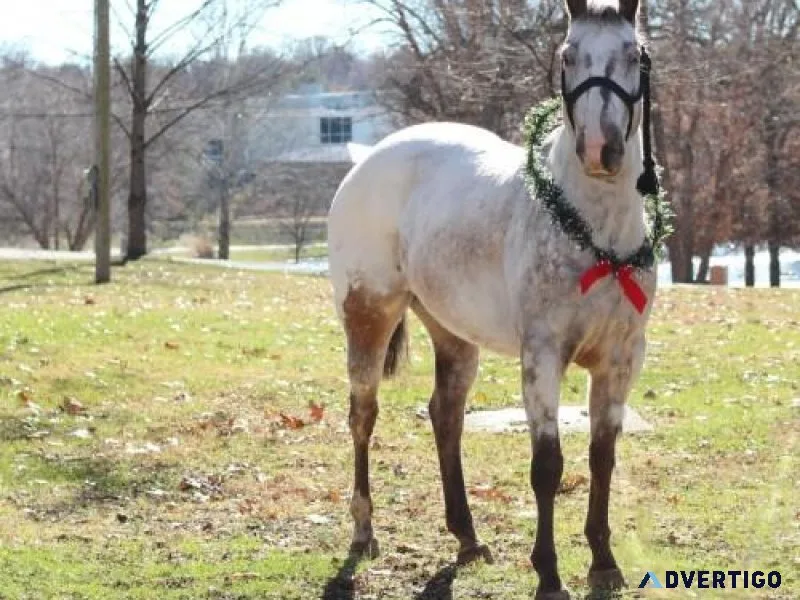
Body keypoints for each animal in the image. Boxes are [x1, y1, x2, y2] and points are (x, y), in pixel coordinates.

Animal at [327, 1, 657, 597]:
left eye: (635, 54)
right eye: (567, 55)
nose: (601, 149)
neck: (592, 231)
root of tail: (369, 158)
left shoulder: (622, 358)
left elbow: (602, 456)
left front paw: (603, 561)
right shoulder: (542, 355)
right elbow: (547, 465)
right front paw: (548, 574)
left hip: (454, 334)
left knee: (446, 416)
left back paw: (466, 536)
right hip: (368, 317)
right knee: (363, 415)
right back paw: (364, 530)